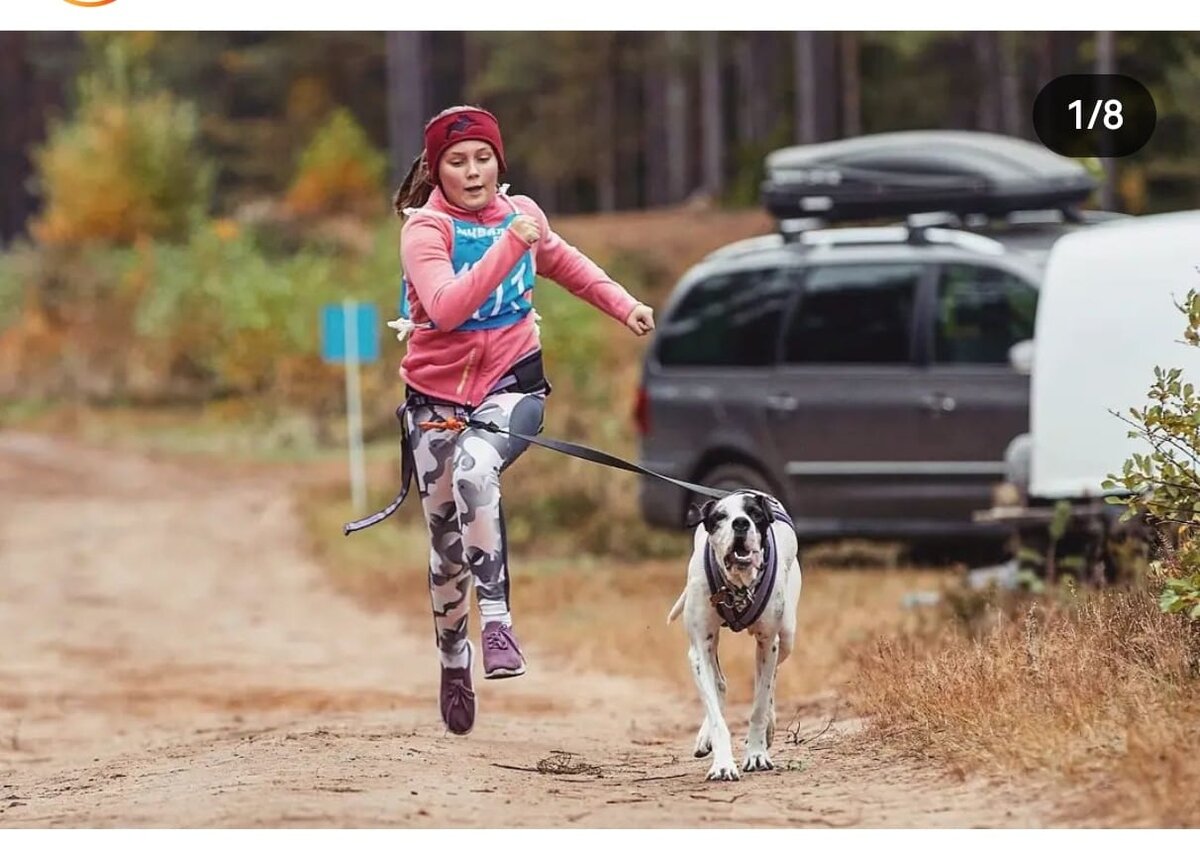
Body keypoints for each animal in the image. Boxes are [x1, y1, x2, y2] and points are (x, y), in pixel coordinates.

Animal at [672, 492, 801, 782]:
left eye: (755, 514)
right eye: (720, 516)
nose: (740, 523)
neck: (739, 587)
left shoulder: (767, 643)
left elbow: (759, 705)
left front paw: (757, 754)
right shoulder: (700, 649)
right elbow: (716, 716)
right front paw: (722, 763)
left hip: (787, 635)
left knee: (773, 679)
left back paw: (769, 727)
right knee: (719, 685)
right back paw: (705, 736)